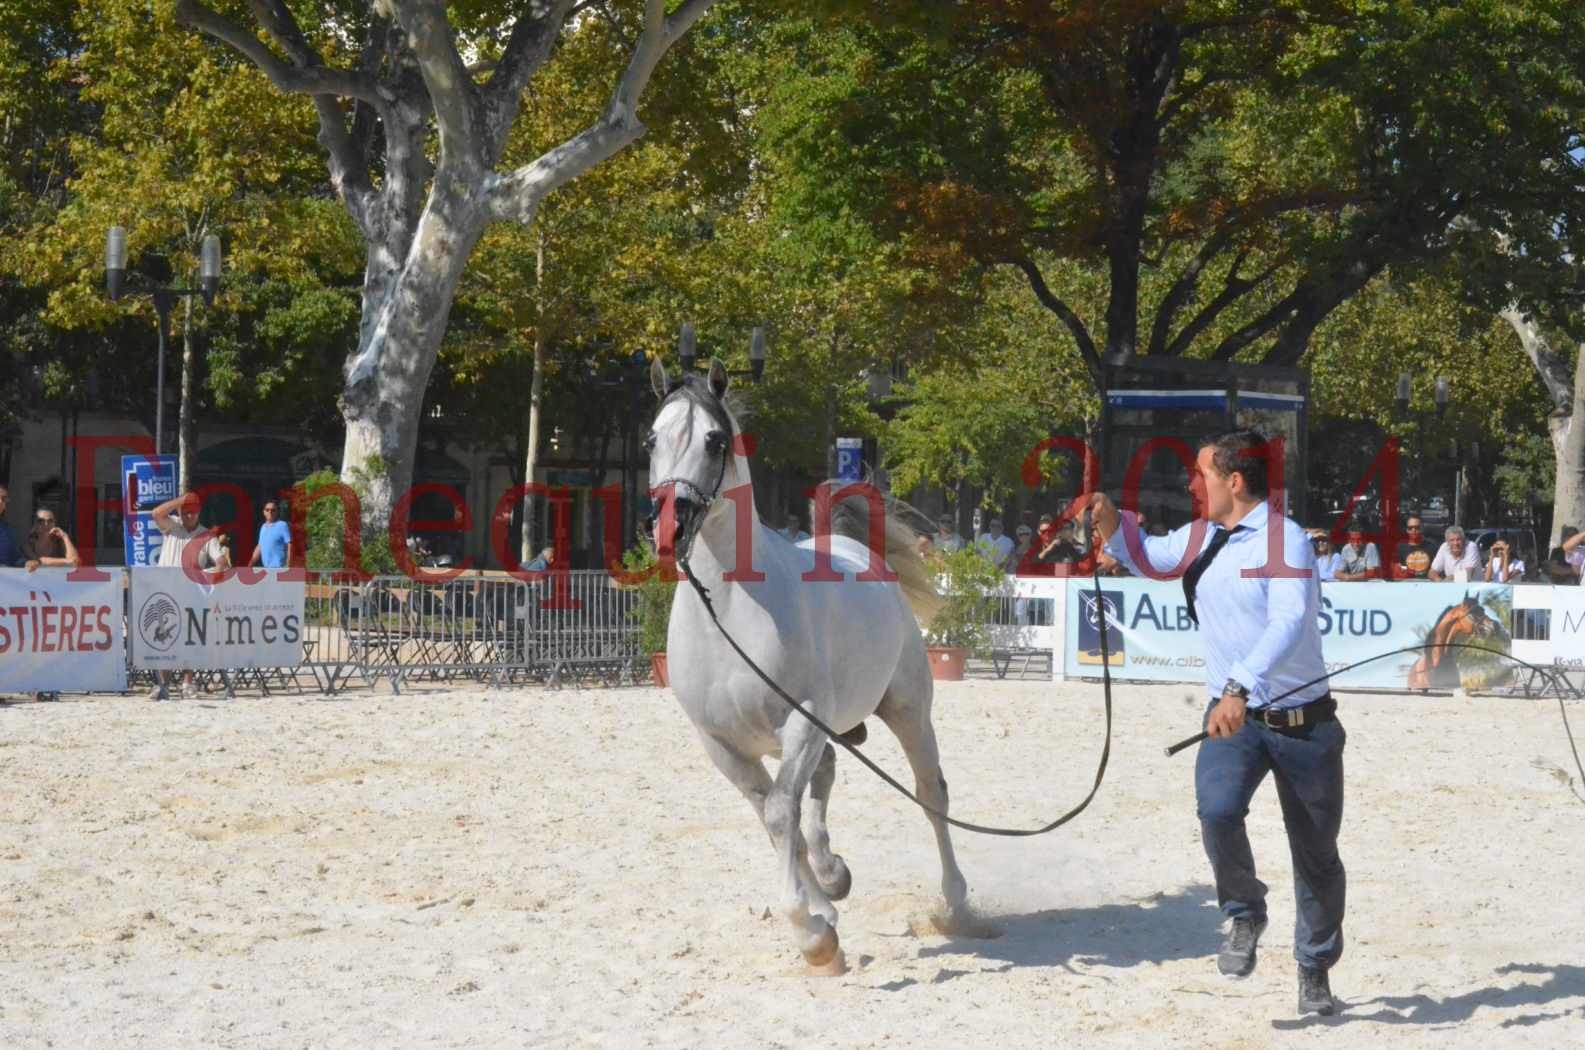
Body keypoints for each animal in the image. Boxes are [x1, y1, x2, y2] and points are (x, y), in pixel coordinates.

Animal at [646, 358, 976, 977]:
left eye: (715, 440)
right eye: (652, 439)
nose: (670, 528)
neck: (730, 610)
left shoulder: (800, 720)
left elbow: (780, 814)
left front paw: (811, 934)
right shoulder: (722, 744)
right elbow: (775, 817)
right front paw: (822, 915)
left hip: (907, 712)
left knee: (931, 794)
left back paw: (955, 905)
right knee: (820, 786)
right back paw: (832, 876)